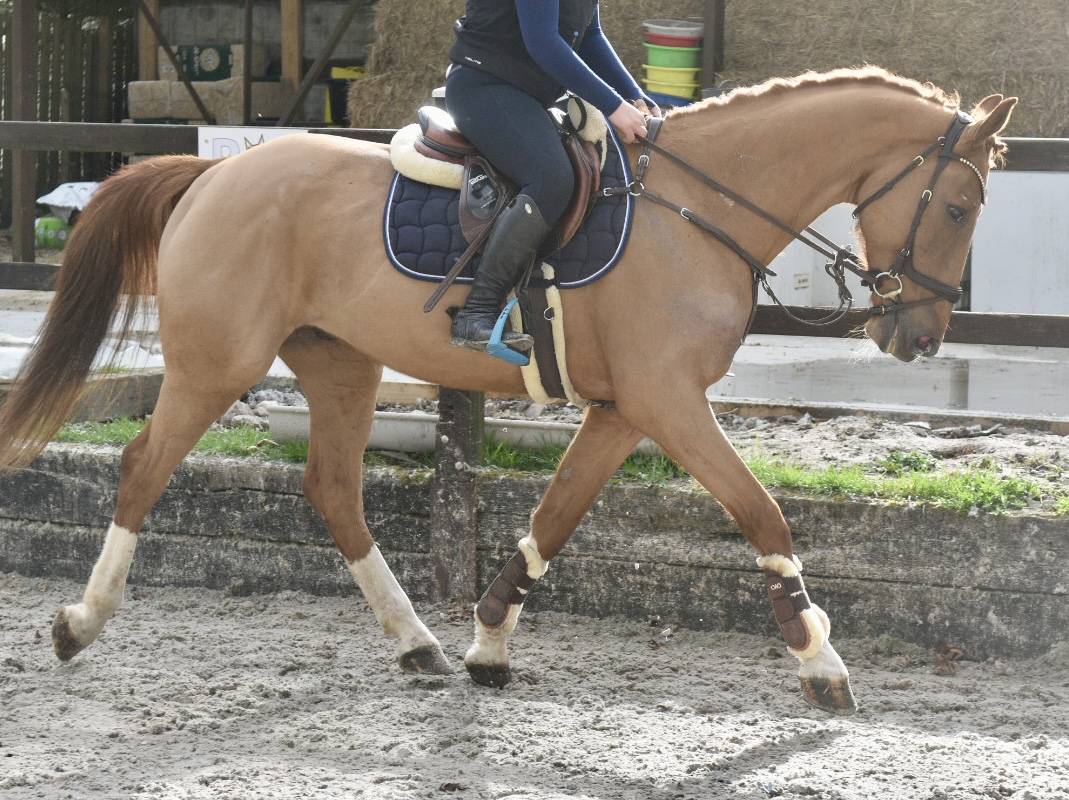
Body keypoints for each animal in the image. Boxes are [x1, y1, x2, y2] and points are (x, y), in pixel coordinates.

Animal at [0, 67, 1014, 716]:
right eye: (958, 206)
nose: (918, 336)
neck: (702, 210)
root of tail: (215, 171)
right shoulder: (668, 401)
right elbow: (761, 513)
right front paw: (818, 657)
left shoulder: (626, 410)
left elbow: (554, 517)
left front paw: (488, 643)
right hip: (219, 363)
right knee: (143, 467)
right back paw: (79, 624)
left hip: (338, 363)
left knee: (333, 490)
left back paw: (416, 641)